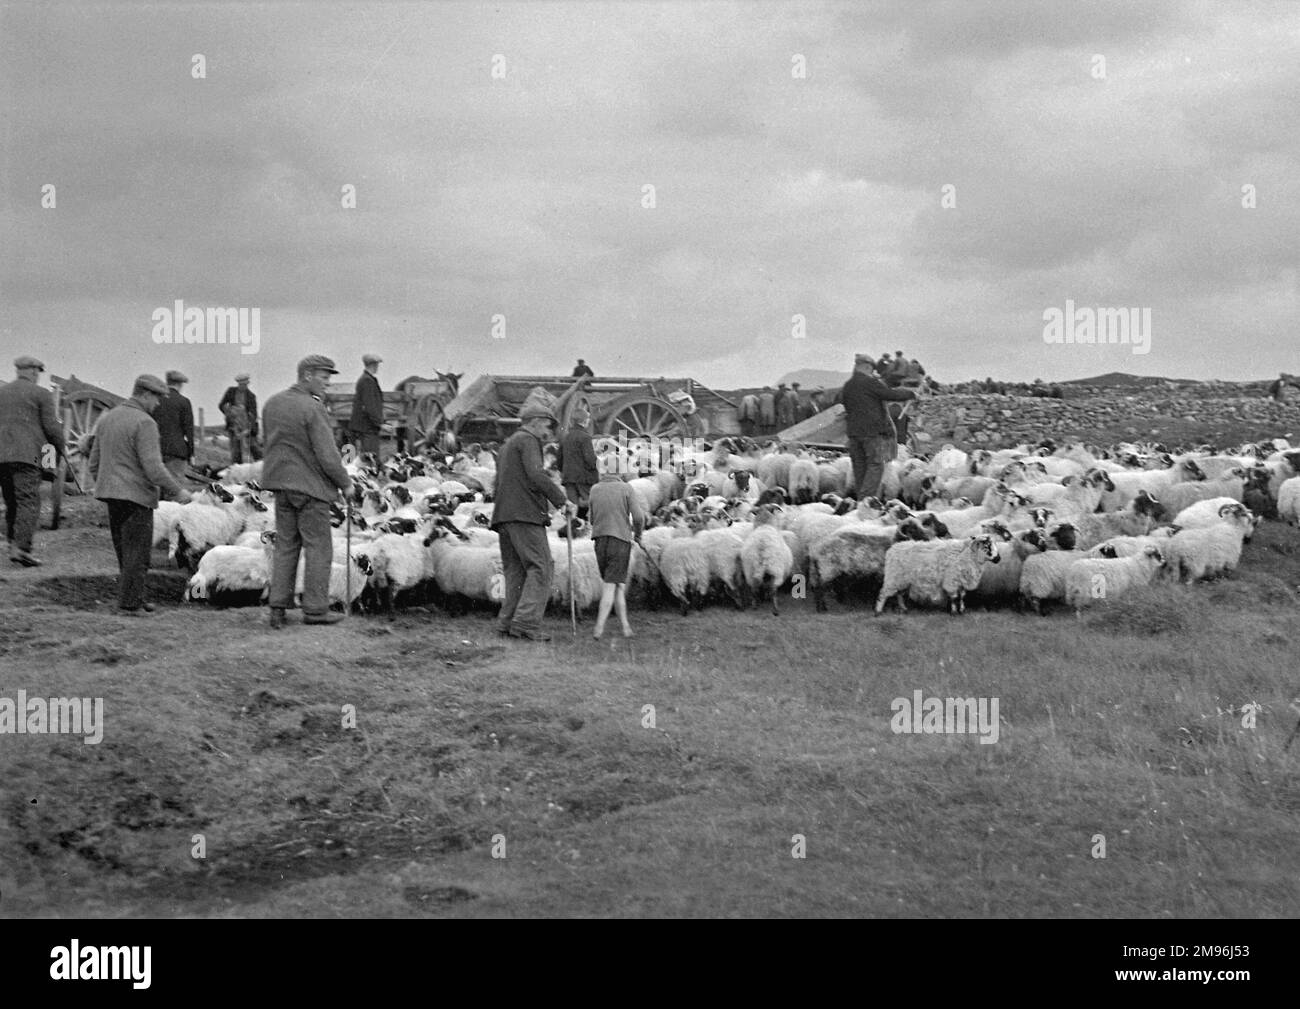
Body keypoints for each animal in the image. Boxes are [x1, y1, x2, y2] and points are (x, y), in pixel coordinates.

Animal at [873, 535, 1003, 613]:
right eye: (987, 546)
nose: (998, 559)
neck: (968, 556)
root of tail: (891, 550)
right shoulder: (952, 581)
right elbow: (954, 597)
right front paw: (954, 612)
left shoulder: (961, 581)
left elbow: (962, 596)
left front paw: (962, 610)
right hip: (893, 578)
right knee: (883, 593)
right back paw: (878, 611)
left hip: (903, 581)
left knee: (899, 594)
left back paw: (903, 608)